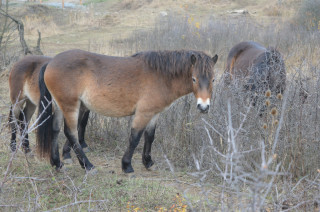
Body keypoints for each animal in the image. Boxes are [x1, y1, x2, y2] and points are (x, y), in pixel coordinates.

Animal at [36, 49, 219, 172]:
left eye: (213, 80)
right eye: (194, 79)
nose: (203, 107)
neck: (160, 76)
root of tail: (51, 62)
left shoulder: (154, 113)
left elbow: (149, 137)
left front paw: (148, 162)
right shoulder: (143, 113)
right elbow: (135, 137)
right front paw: (127, 165)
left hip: (60, 106)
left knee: (55, 130)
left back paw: (57, 163)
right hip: (70, 106)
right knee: (71, 133)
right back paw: (87, 165)